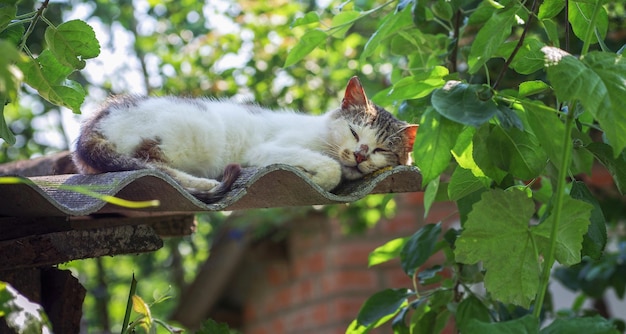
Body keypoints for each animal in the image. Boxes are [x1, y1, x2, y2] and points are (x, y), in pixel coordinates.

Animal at [72, 77, 414, 202]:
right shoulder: (264, 151)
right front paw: (321, 173)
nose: (360, 154)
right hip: (188, 133)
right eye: (355, 132)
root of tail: (92, 124)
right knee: (153, 166)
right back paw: (205, 183)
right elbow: (331, 169)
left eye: (380, 149)